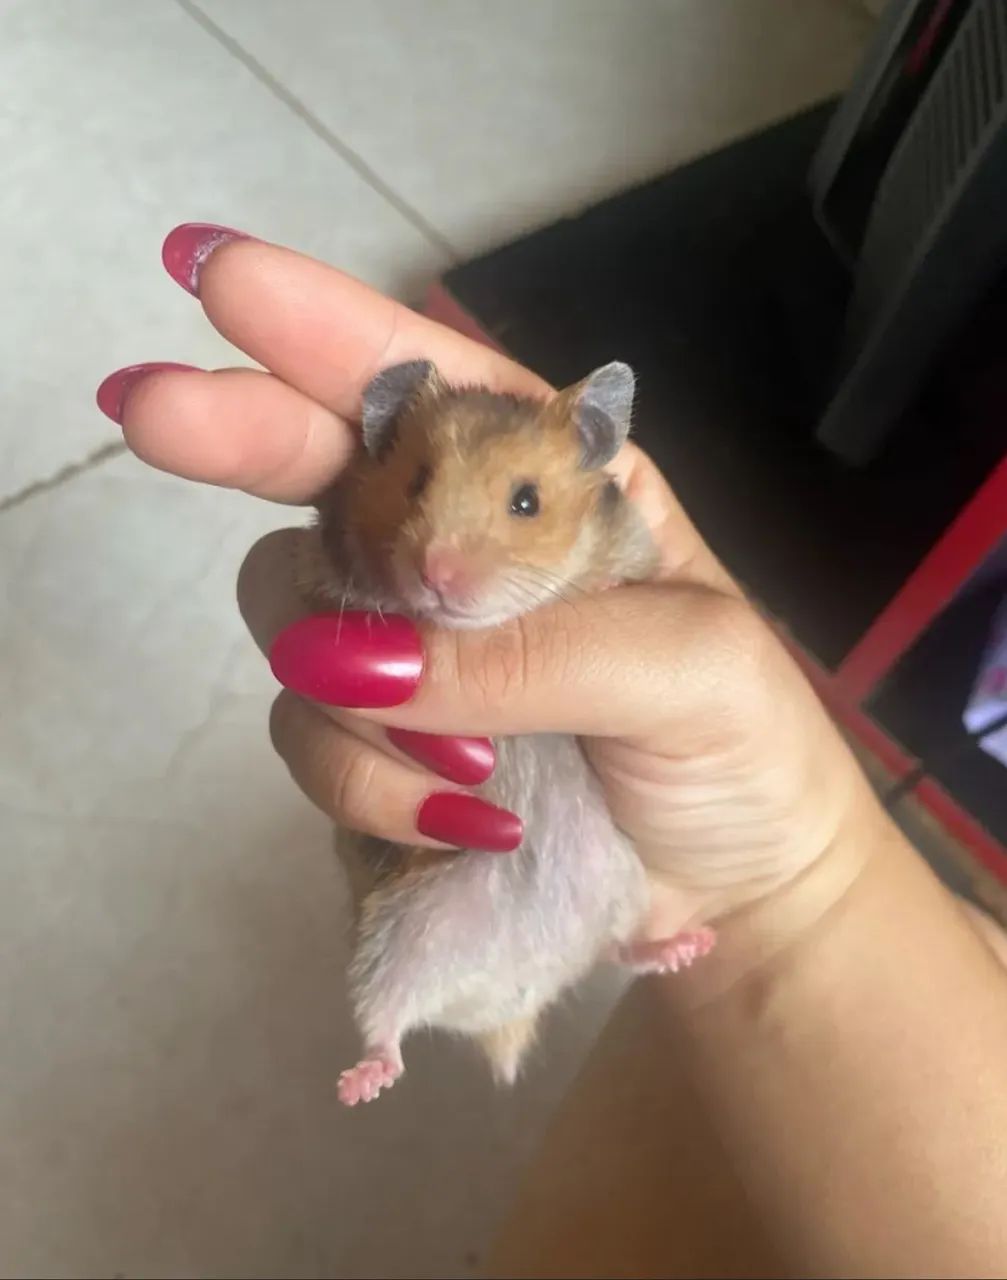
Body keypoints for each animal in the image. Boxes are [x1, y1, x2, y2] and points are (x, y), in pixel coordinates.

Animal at [297, 359, 715, 1106]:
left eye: (527, 502)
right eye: (416, 483)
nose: (435, 575)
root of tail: (508, 1010)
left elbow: (620, 576)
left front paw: (600, 588)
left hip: (624, 884)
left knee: (622, 947)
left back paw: (688, 948)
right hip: (394, 937)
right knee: (386, 1023)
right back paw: (357, 1086)